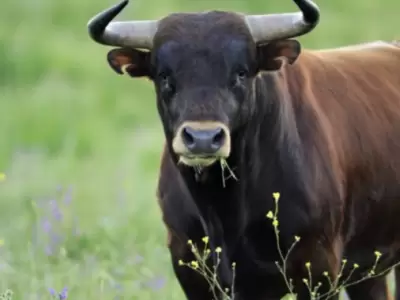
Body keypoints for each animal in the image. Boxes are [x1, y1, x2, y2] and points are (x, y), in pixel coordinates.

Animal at [87, 1, 400, 298]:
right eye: (164, 75)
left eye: (240, 72)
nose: (203, 138)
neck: (224, 209)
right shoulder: (192, 270)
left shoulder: (317, 270)